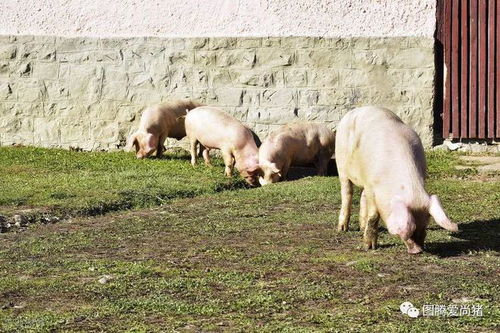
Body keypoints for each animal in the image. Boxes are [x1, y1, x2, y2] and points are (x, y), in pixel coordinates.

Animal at [336, 105, 458, 253]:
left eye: (424, 225)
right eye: (411, 230)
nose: (418, 250)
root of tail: (355, 111)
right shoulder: (372, 187)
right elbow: (374, 216)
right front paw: (369, 247)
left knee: (361, 196)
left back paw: (361, 227)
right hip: (341, 164)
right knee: (347, 193)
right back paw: (342, 229)